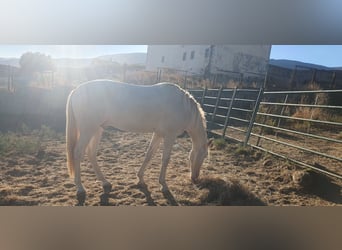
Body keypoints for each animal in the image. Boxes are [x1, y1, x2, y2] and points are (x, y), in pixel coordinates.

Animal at [65, 80, 207, 203]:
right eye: (203, 157)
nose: (195, 178)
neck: (183, 106)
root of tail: (76, 91)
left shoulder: (158, 134)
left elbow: (149, 154)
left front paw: (140, 178)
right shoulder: (170, 136)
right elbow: (165, 159)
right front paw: (163, 185)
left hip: (97, 129)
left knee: (91, 153)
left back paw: (105, 182)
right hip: (88, 130)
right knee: (78, 153)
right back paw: (80, 188)